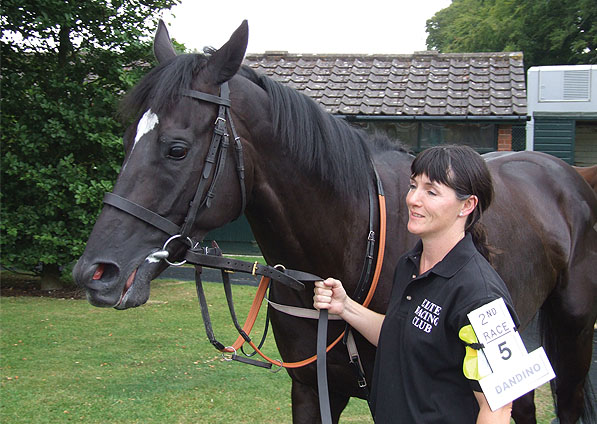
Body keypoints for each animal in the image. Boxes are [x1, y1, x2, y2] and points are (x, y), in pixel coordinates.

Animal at [74, 21, 596, 422]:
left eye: (177, 148)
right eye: (127, 139)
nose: (95, 273)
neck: (352, 244)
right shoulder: (310, 389)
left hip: (572, 336)